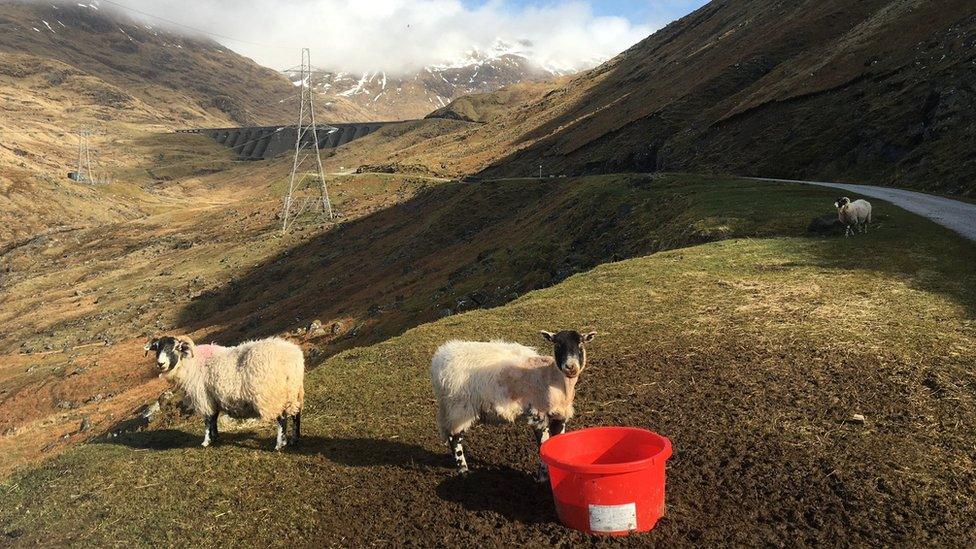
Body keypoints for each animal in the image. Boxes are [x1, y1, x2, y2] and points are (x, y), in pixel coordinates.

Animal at [143, 334, 304, 450]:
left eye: (175, 347)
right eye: (157, 348)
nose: (160, 364)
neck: (191, 362)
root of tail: (293, 357)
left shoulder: (203, 398)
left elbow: (207, 420)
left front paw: (206, 441)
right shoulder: (212, 398)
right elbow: (214, 418)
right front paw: (215, 438)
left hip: (272, 395)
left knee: (282, 419)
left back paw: (279, 444)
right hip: (294, 392)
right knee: (296, 414)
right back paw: (295, 439)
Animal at [430, 330, 600, 480]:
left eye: (581, 344)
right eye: (557, 345)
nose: (570, 367)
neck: (553, 377)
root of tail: (440, 359)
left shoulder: (560, 416)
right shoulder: (538, 415)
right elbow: (543, 447)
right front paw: (542, 478)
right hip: (459, 408)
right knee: (454, 439)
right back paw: (463, 472)